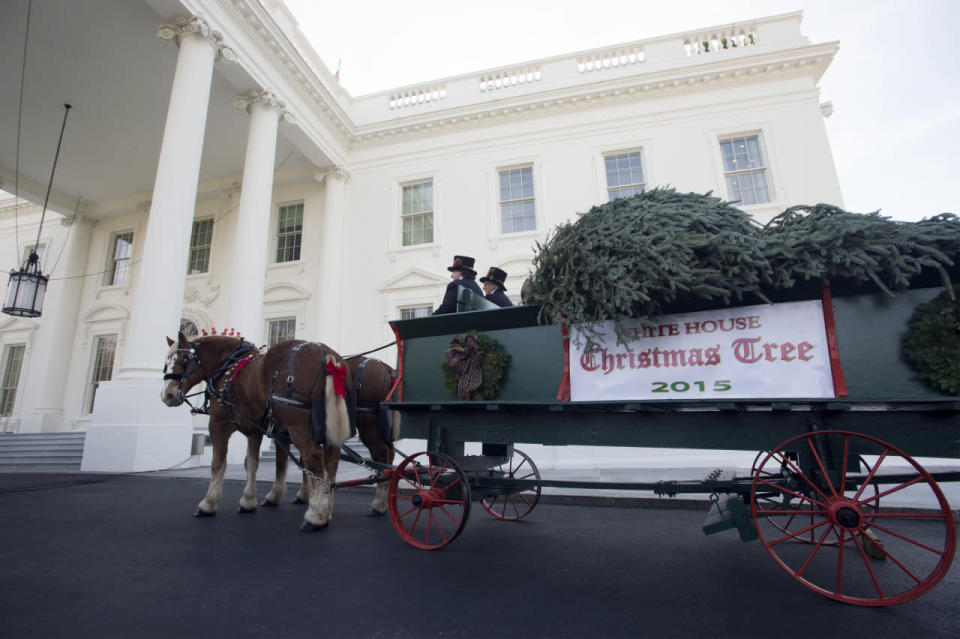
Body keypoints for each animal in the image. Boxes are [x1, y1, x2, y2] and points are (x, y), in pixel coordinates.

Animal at [163, 332, 354, 532]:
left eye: (183, 359)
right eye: (166, 363)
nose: (167, 395)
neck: (228, 366)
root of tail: (327, 356)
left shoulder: (218, 423)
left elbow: (218, 464)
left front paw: (208, 504)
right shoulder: (255, 430)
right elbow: (253, 463)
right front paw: (250, 500)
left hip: (299, 427)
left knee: (314, 459)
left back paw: (315, 515)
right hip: (325, 429)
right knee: (331, 462)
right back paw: (326, 509)